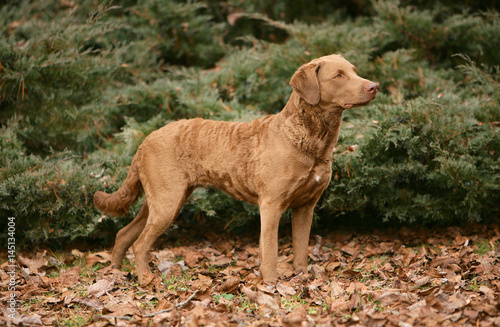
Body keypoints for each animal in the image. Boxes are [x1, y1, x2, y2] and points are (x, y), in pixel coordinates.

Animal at [94, 55, 376, 286]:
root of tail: (145, 140)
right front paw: (271, 285)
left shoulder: (306, 206)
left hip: (161, 200)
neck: (308, 141)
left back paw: (115, 274)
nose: (374, 86)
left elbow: (301, 248)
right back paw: (145, 279)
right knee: (140, 243)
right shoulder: (271, 205)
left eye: (354, 70)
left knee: (124, 234)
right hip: (167, 202)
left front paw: (302, 277)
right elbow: (270, 251)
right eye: (338, 76)